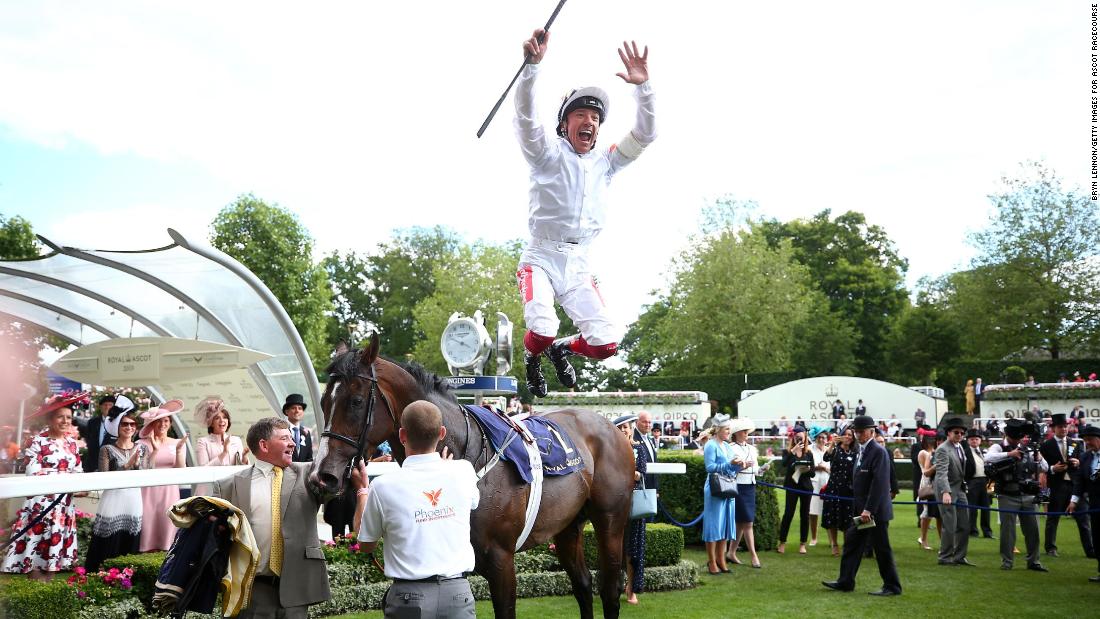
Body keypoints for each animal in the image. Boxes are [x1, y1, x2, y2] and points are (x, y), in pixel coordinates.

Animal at [310, 336, 638, 615]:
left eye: (355, 401)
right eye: (324, 402)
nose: (323, 475)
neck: (466, 455)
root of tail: (611, 428)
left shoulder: (501, 560)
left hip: (610, 521)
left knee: (609, 591)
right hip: (568, 526)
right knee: (582, 586)